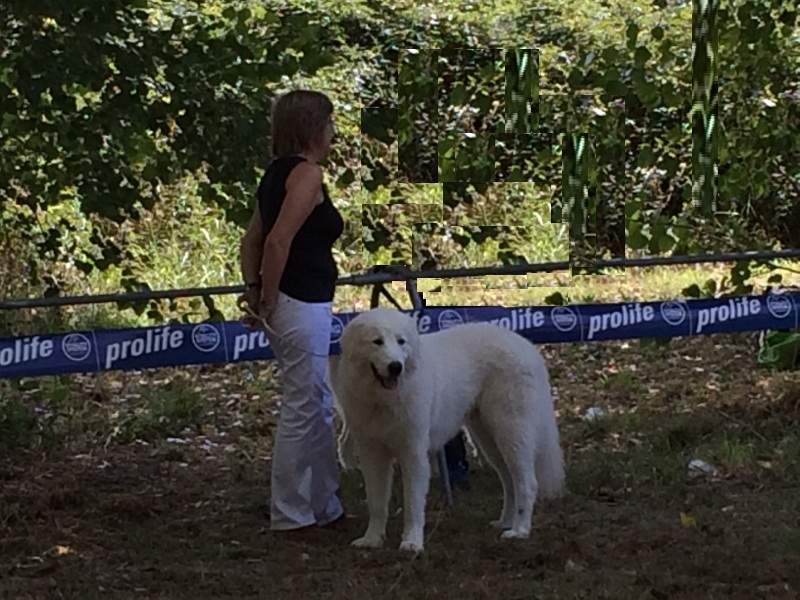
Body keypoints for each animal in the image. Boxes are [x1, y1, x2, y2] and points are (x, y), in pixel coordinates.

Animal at [328, 307, 565, 552]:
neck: (382, 399)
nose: (396, 366)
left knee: (527, 483)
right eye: (377, 342)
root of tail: (526, 346)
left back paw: (519, 531)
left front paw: (411, 543)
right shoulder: (372, 454)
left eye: (401, 341)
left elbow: (412, 503)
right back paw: (505, 522)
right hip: (487, 438)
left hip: (512, 432)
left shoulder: (413, 453)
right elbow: (376, 502)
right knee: (509, 481)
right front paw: (372, 539)